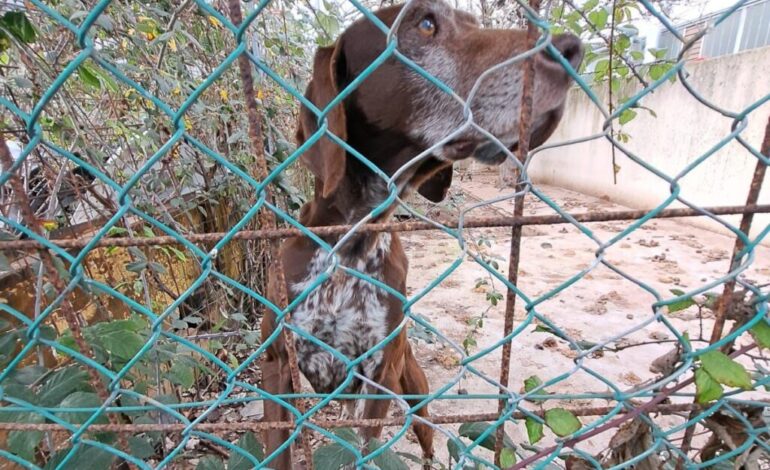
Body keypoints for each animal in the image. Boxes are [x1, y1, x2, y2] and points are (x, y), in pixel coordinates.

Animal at [260, 0, 584, 466]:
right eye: (426, 23)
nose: (571, 49)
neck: (353, 240)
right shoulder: (277, 366)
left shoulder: (379, 373)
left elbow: (368, 446)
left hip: (414, 393)